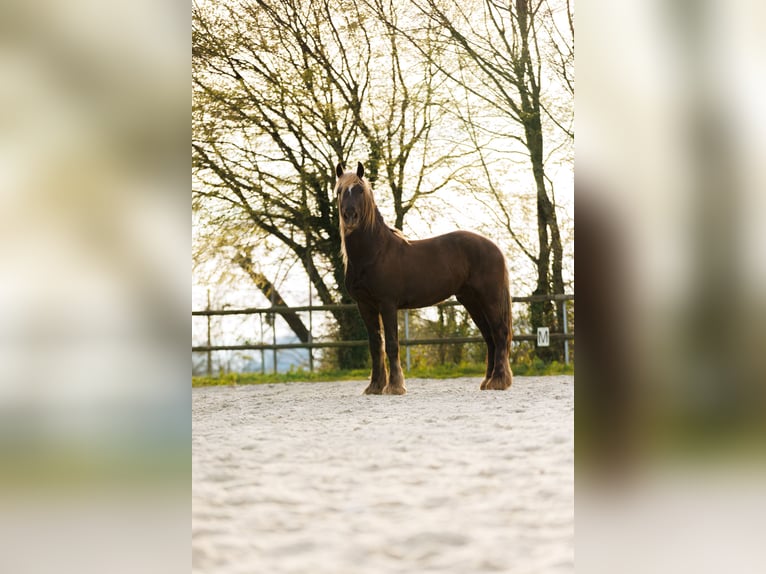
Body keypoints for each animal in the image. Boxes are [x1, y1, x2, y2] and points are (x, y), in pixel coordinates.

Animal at [335, 161, 513, 395]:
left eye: (359, 190)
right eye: (339, 191)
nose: (350, 217)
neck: (374, 253)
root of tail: (494, 247)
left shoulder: (387, 304)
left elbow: (391, 344)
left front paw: (395, 386)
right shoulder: (365, 305)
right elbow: (375, 345)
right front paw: (375, 386)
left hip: (489, 299)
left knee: (499, 333)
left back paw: (498, 382)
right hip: (472, 302)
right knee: (489, 337)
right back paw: (487, 381)